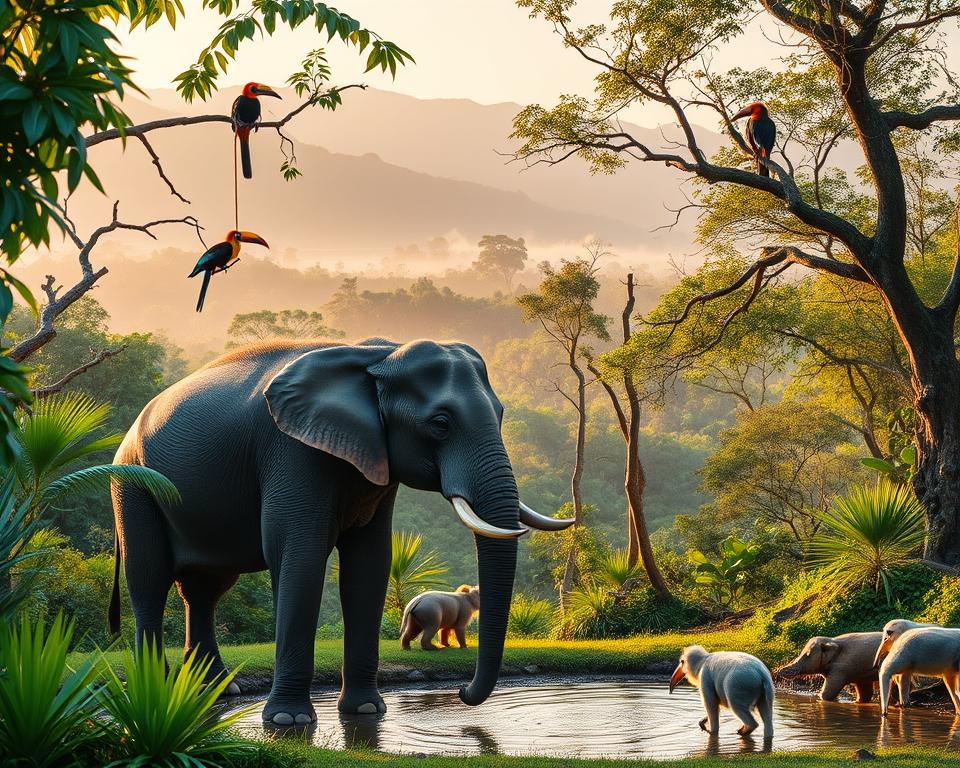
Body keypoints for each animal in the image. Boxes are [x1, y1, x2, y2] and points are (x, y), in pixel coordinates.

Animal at [109, 338, 573, 726]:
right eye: (441, 423)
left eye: (500, 415)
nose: (461, 693)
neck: (377, 355)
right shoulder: (292, 452)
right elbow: (299, 556)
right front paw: (289, 721)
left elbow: (369, 565)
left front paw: (367, 711)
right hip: (134, 489)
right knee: (149, 579)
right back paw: (158, 688)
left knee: (205, 590)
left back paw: (222, 689)